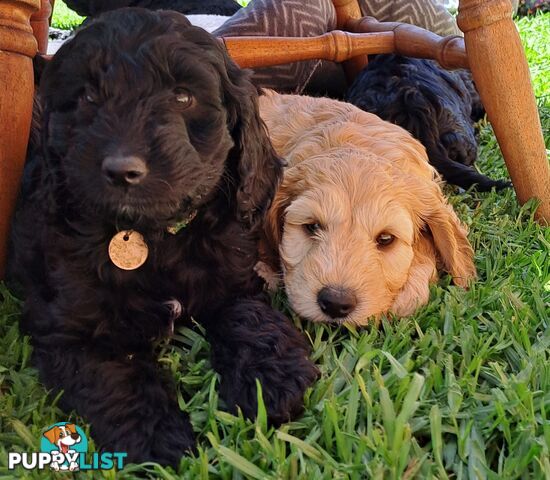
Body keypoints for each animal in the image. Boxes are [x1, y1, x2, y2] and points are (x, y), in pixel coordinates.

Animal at [10, 6, 316, 464]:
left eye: (183, 97)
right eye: (86, 98)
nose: (122, 170)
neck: (154, 238)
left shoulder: (235, 279)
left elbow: (251, 318)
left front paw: (274, 380)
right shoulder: (71, 327)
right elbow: (116, 376)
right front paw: (159, 436)